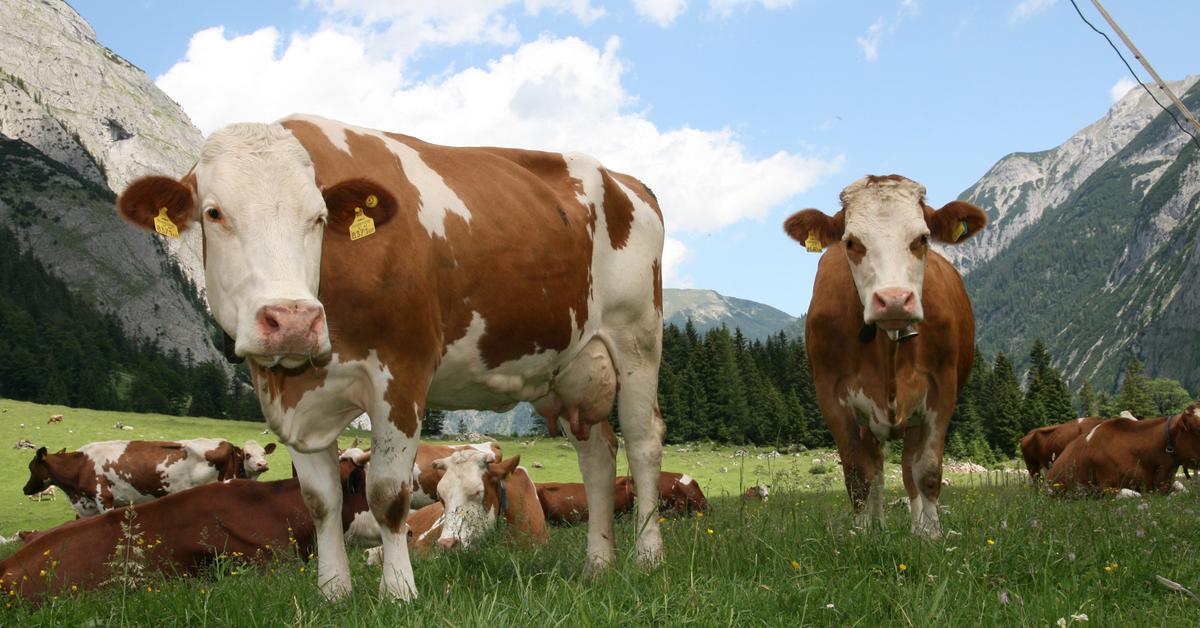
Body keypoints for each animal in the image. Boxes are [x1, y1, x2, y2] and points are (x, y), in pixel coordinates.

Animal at [117, 115, 667, 602]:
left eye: (318, 217)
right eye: (214, 213)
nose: (292, 319)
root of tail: (627, 182)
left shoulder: (401, 377)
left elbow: (387, 495)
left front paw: (400, 592)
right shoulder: (295, 398)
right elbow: (320, 502)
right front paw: (334, 593)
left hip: (638, 339)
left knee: (643, 442)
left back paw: (647, 556)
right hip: (575, 367)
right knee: (597, 454)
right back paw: (598, 565)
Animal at [787, 174, 984, 537]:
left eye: (922, 238)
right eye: (851, 242)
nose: (893, 300)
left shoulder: (942, 389)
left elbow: (927, 472)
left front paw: (931, 535)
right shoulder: (832, 396)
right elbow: (858, 475)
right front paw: (863, 534)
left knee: (907, 471)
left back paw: (917, 527)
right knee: (877, 471)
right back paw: (878, 524)